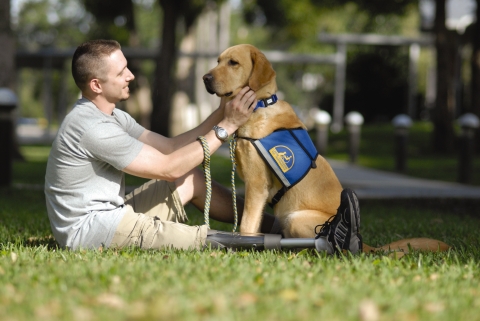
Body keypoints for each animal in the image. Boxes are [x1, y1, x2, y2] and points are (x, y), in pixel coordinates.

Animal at [202, 43, 450, 252]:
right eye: (218, 61)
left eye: (233, 63)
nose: (205, 78)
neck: (259, 106)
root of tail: (367, 245)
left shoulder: (256, 184)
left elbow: (246, 225)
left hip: (295, 217)